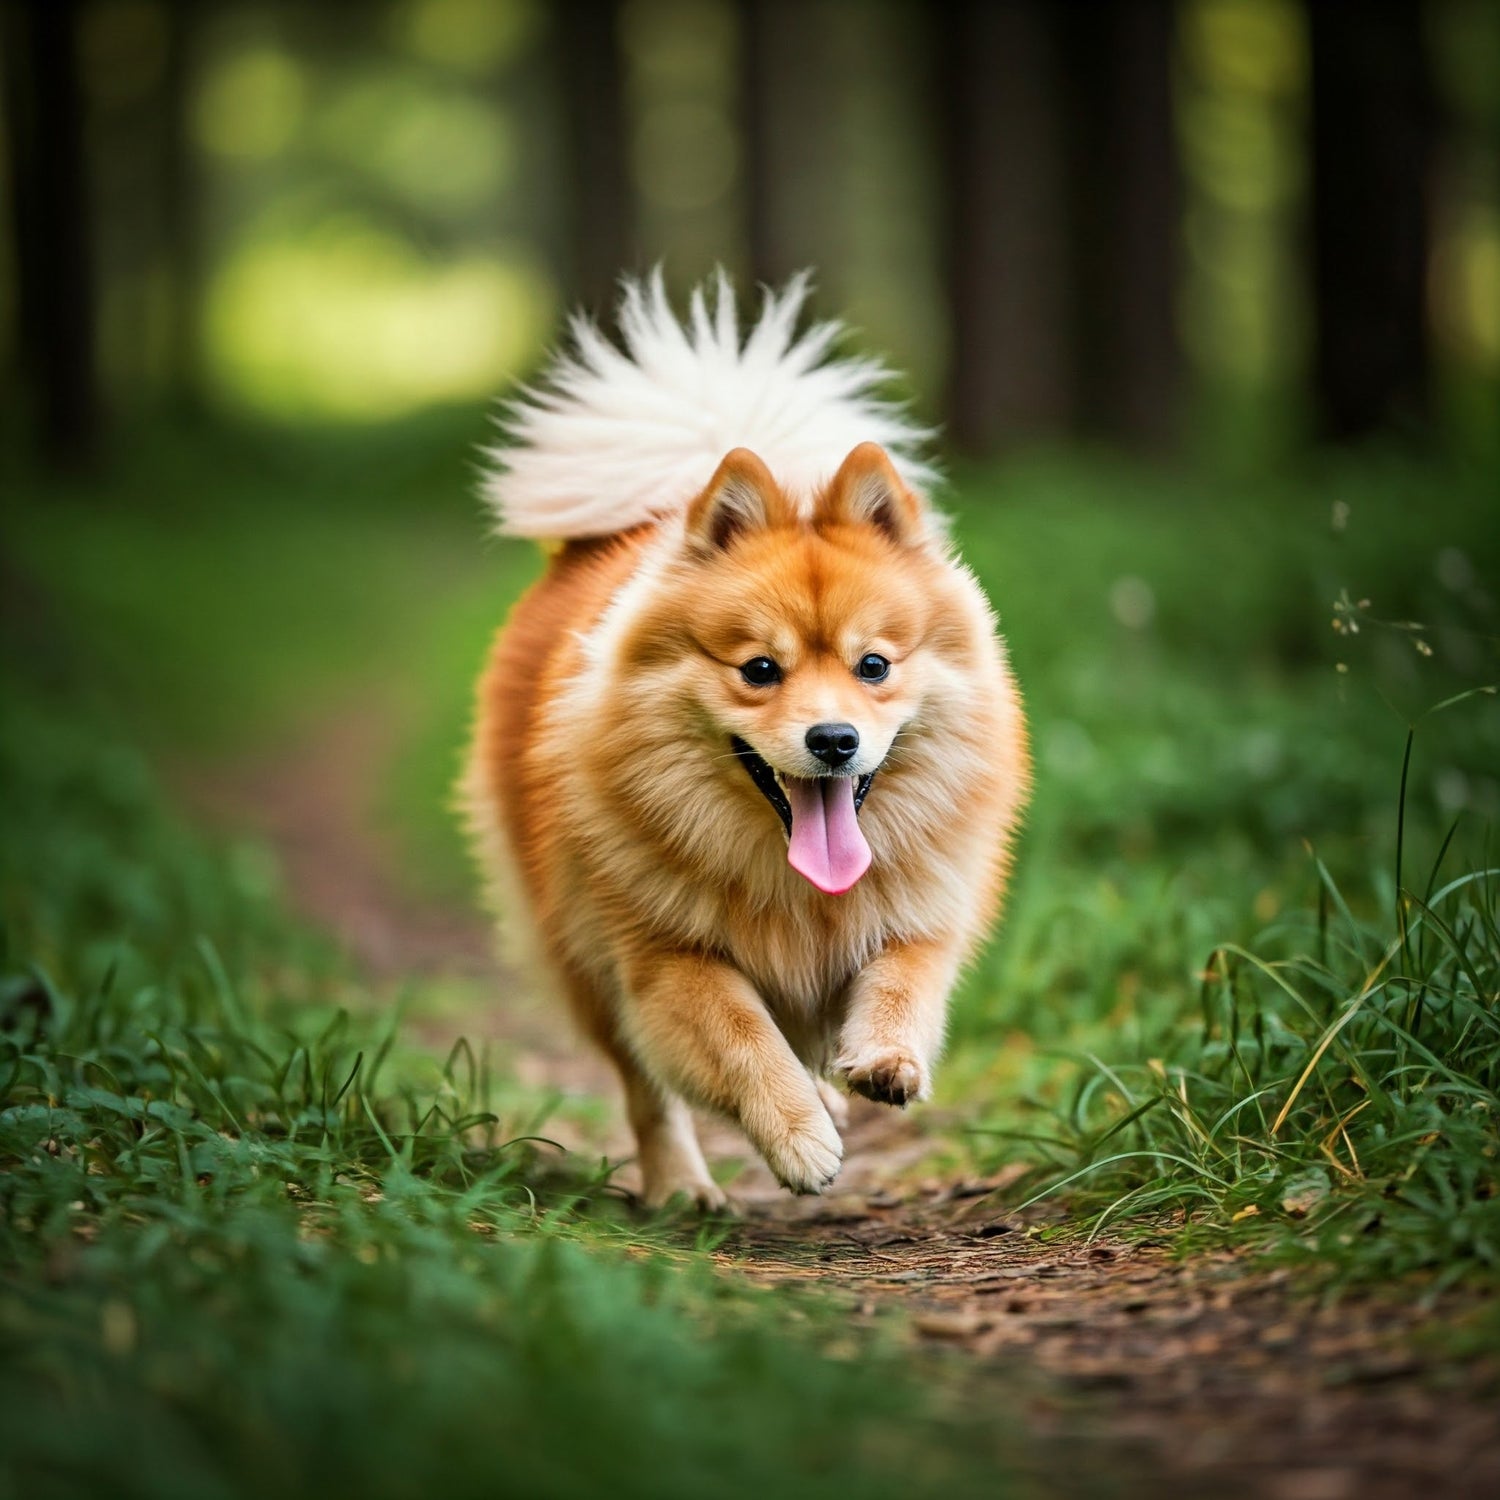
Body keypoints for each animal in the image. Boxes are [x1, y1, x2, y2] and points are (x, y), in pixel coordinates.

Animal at [462, 273, 1032, 1206]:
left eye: (874, 666)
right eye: (760, 669)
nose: (834, 738)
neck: (799, 890)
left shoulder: (917, 914)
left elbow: (903, 978)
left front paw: (883, 1061)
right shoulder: (664, 955)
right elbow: (740, 1036)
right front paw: (799, 1137)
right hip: (581, 950)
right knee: (646, 1089)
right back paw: (684, 1186)